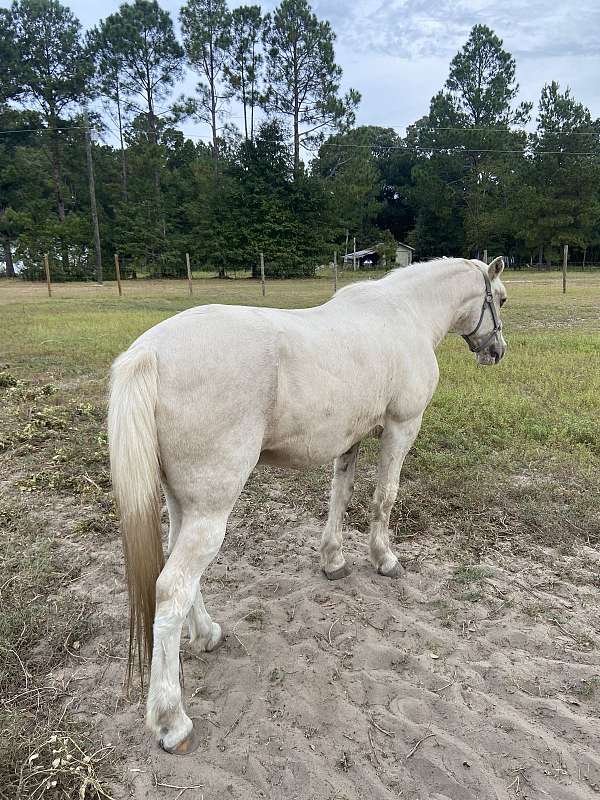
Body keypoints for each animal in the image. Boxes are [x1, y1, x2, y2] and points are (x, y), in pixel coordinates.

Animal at [106, 258, 506, 756]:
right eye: (501, 299)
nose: (497, 350)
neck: (406, 313)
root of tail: (151, 351)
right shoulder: (400, 428)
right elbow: (384, 497)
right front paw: (384, 559)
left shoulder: (351, 438)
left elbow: (340, 496)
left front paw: (333, 559)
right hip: (211, 510)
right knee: (172, 587)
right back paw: (170, 721)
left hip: (186, 504)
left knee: (180, 573)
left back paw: (207, 634)